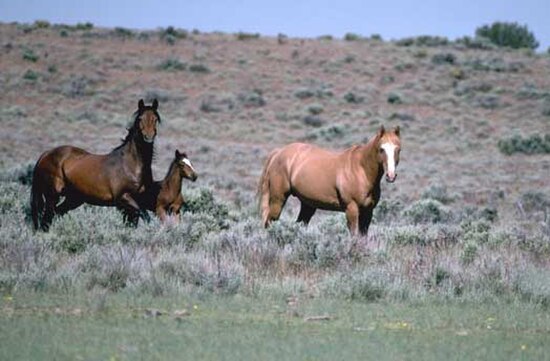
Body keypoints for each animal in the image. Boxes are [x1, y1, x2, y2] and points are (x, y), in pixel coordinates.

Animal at [30, 98, 161, 231]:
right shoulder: (124, 198)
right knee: (46, 219)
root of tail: (46, 154)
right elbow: (145, 216)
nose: (148, 137)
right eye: (140, 118)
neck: (130, 165)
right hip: (52, 196)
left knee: (56, 214)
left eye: (155, 119)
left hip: (73, 199)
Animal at [258, 125, 402, 235]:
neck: (361, 170)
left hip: (308, 205)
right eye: (382, 149)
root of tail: (278, 152)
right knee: (269, 223)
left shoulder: (368, 212)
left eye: (398, 149)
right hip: (278, 200)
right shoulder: (351, 209)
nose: (391, 175)